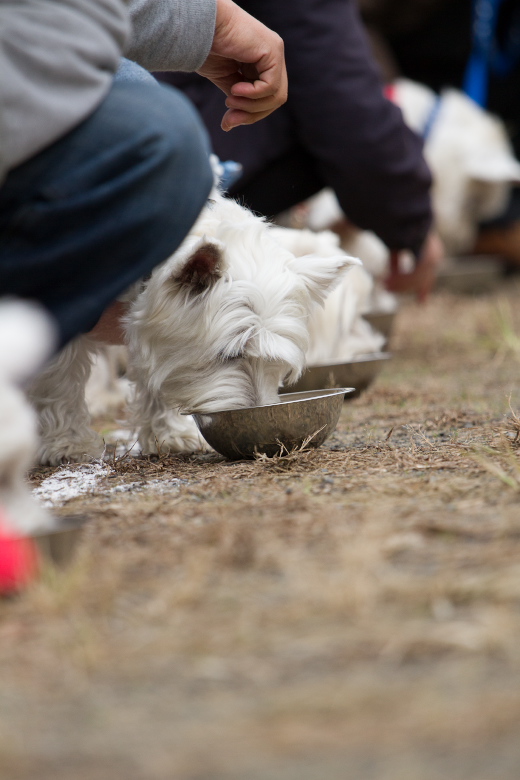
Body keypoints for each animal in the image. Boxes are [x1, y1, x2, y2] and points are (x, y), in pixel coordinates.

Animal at [29, 190, 362, 466]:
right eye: (229, 355)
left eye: (275, 364)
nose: (255, 412)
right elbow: (60, 384)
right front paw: (68, 445)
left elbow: (156, 376)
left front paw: (168, 434)